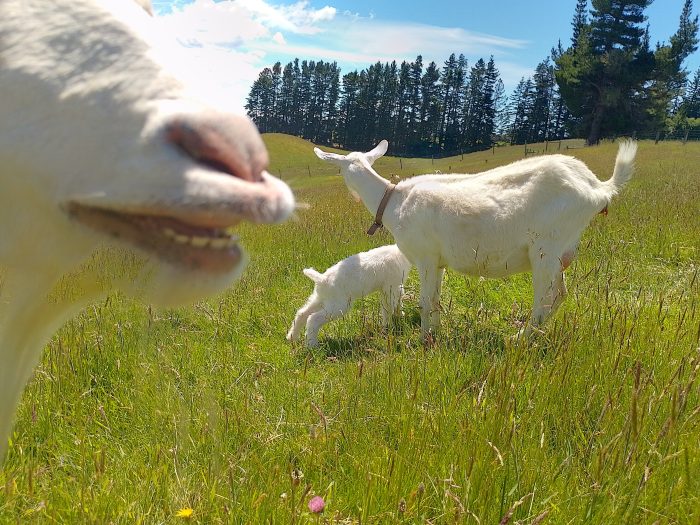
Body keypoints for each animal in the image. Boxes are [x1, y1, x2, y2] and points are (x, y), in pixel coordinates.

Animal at [314, 140, 636, 341]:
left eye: (338, 168)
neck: (394, 201)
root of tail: (598, 187)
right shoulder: (439, 262)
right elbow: (436, 299)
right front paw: (435, 333)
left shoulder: (426, 257)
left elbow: (424, 302)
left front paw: (422, 339)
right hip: (561, 252)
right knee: (559, 294)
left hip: (547, 247)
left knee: (546, 297)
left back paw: (519, 338)